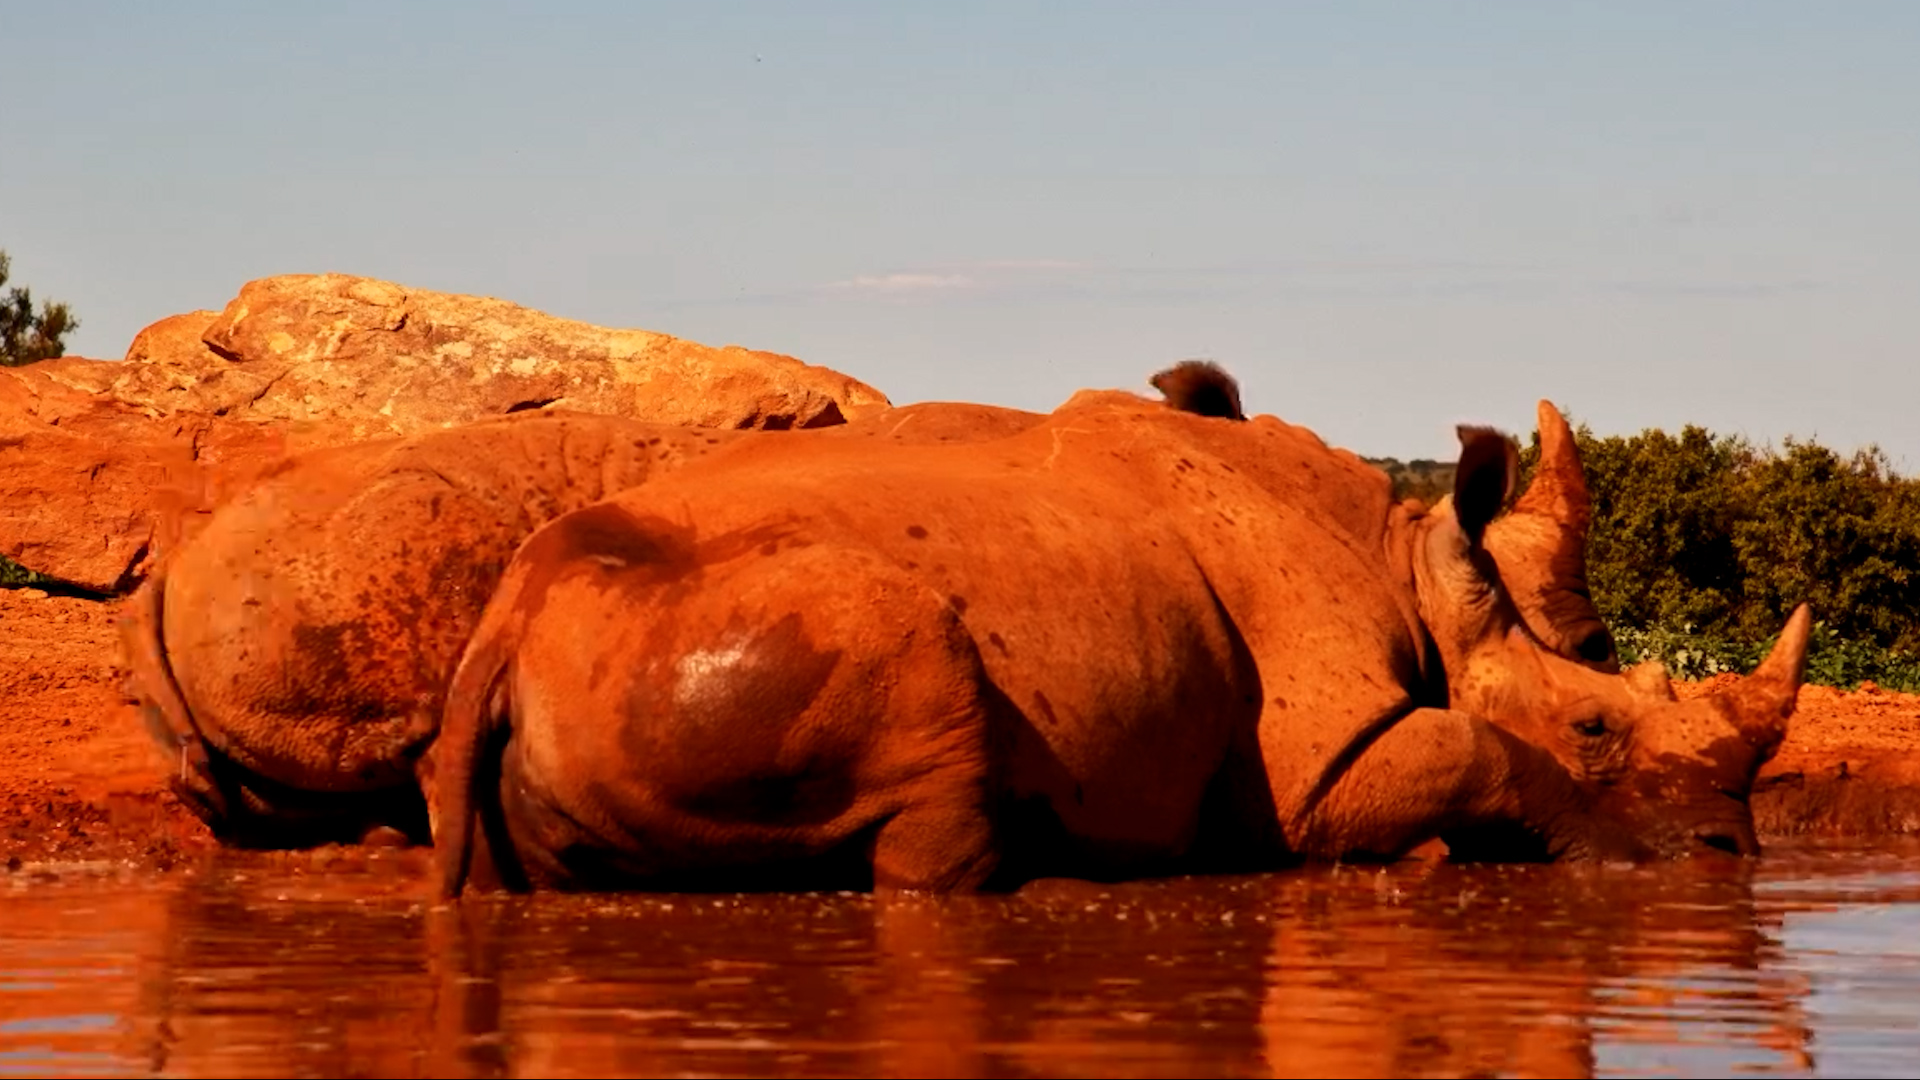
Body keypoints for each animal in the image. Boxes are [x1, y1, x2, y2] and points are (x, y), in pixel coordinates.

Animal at [431, 387, 1809, 896]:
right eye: (1594, 723)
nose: (1731, 851)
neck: (1411, 566)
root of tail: (505, 626)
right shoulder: (1318, 764)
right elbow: (1478, 748)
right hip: (741, 626)